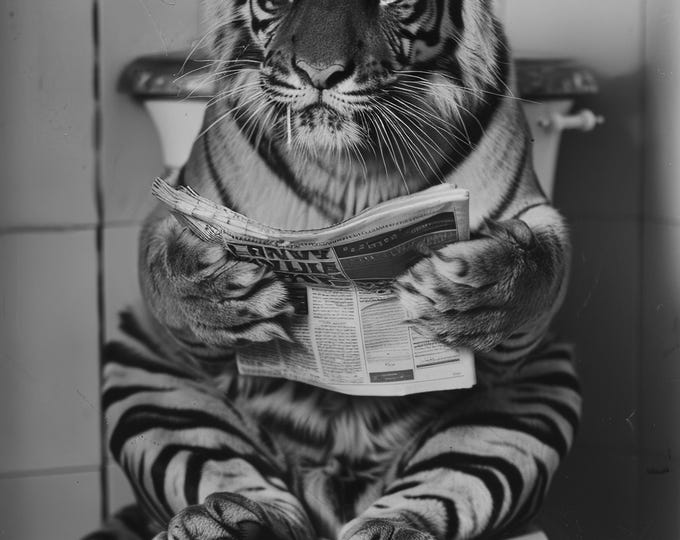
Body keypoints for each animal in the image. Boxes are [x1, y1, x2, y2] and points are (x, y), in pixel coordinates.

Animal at [88, 0, 582, 539]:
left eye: (390, 2)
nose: (319, 75)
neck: (353, 167)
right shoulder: (180, 199)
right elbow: (165, 261)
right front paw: (221, 293)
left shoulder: (533, 213)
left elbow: (538, 265)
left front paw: (470, 296)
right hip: (147, 367)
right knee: (248, 485)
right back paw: (222, 520)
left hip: (535, 386)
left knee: (434, 491)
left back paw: (388, 529)